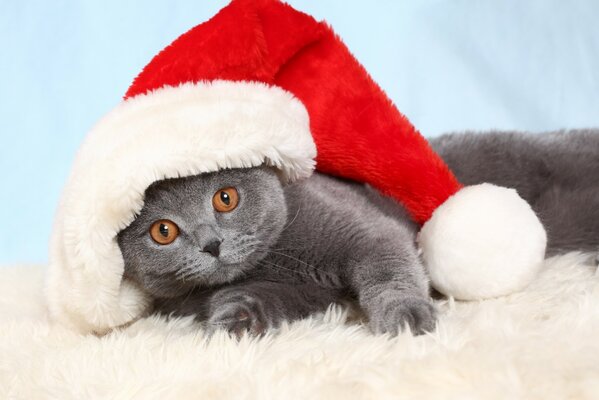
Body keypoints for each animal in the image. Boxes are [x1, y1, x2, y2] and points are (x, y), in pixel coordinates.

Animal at [117, 130, 599, 336]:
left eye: (225, 198)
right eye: (163, 231)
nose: (211, 244)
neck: (277, 259)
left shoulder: (367, 230)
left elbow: (388, 269)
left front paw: (405, 317)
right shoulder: (298, 293)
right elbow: (253, 298)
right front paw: (233, 321)